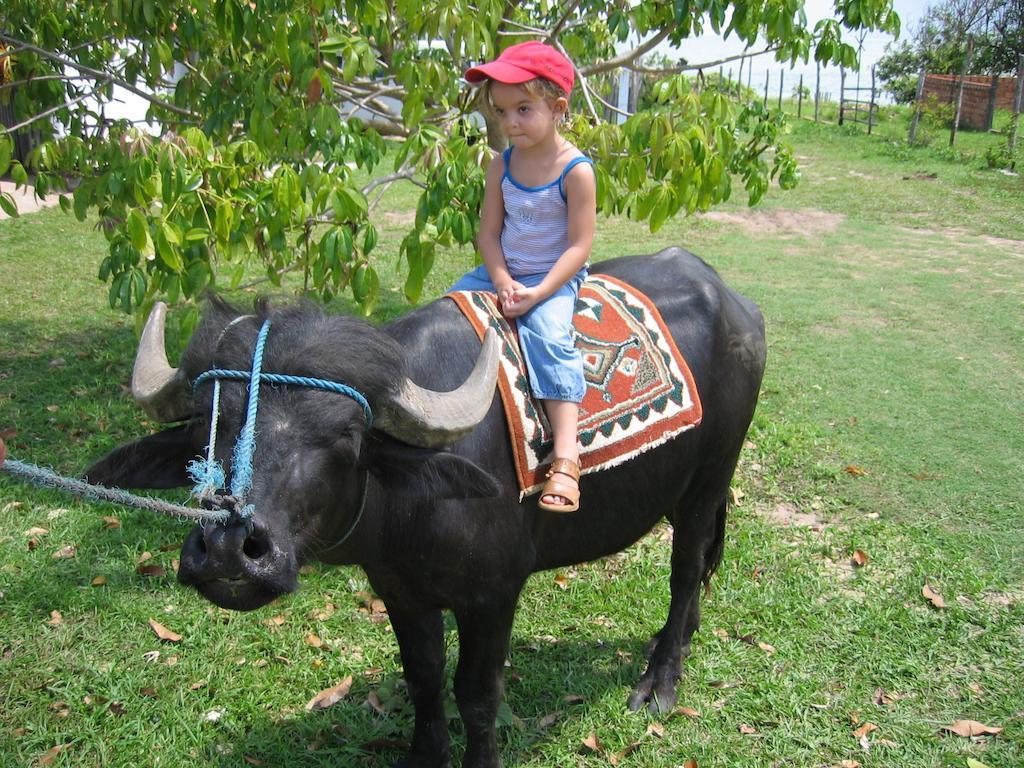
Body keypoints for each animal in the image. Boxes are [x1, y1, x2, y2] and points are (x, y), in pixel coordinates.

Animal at [88, 247, 765, 768]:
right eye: (209, 426)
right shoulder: (400, 589)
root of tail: (735, 302)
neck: (409, 509)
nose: (231, 548)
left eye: (346, 436)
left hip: (709, 481)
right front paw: (423, 755)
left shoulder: (493, 593)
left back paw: (659, 680)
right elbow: (423, 676)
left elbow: (477, 693)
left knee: (685, 570)